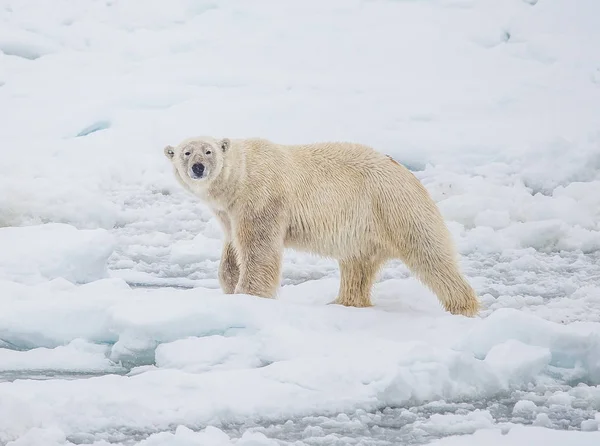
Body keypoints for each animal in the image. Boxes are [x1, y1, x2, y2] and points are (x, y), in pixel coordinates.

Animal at [162, 136, 480, 318]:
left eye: (208, 151)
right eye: (186, 153)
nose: (198, 167)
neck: (241, 176)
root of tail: (407, 173)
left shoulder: (262, 197)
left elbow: (258, 250)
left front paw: (249, 296)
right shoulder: (229, 210)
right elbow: (231, 251)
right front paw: (230, 287)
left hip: (393, 207)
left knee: (430, 254)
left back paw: (464, 306)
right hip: (364, 228)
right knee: (357, 266)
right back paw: (345, 302)